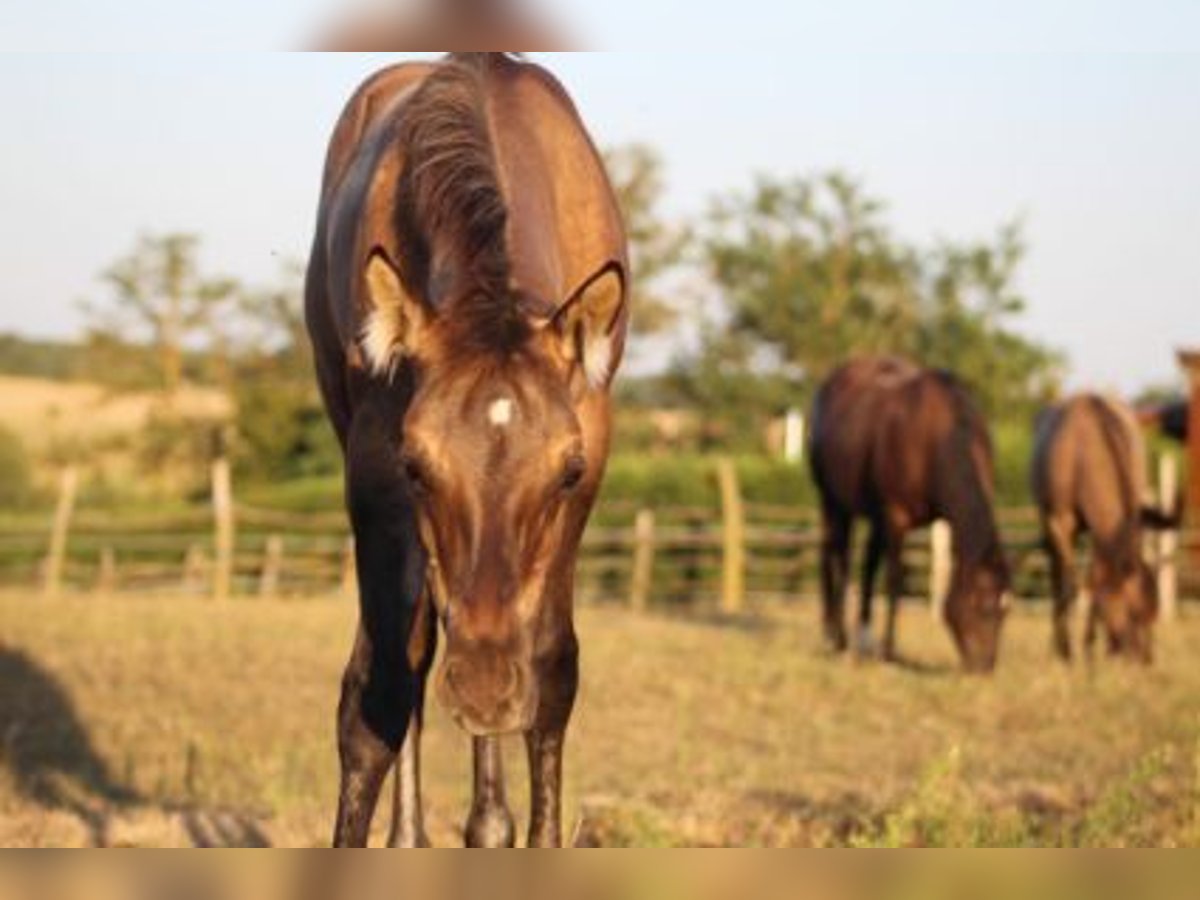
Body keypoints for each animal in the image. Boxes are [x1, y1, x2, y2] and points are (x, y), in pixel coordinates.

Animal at [304, 54, 628, 844]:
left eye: (568, 472)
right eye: (416, 467)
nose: (483, 688)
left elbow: (552, 674)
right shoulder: (376, 477)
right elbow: (380, 694)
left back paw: (488, 821)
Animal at [806, 355, 1012, 672]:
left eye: (1005, 613)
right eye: (983, 605)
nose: (984, 667)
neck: (937, 437)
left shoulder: (939, 520)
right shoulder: (895, 518)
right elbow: (894, 580)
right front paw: (889, 653)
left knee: (865, 564)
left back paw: (861, 638)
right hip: (833, 502)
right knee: (836, 557)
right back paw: (837, 638)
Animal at [1032, 393, 1171, 662]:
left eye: (1154, 614)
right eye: (1134, 613)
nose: (1146, 659)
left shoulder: (1104, 528)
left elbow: (1096, 579)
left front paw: (1091, 646)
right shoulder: (1061, 520)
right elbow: (1071, 585)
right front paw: (1069, 651)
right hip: (1049, 522)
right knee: (1057, 576)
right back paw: (1059, 646)